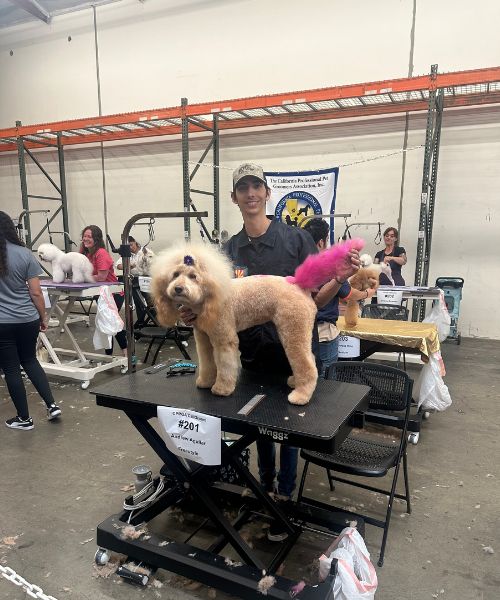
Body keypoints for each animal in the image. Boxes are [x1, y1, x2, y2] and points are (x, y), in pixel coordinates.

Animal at [151, 237, 364, 406]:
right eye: (175, 275)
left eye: (193, 276)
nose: (178, 289)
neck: (209, 296)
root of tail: (297, 284)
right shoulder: (203, 337)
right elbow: (207, 362)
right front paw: (205, 382)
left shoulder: (224, 339)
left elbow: (225, 366)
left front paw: (222, 389)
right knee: (309, 359)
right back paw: (296, 382)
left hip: (292, 330)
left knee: (307, 366)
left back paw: (301, 396)